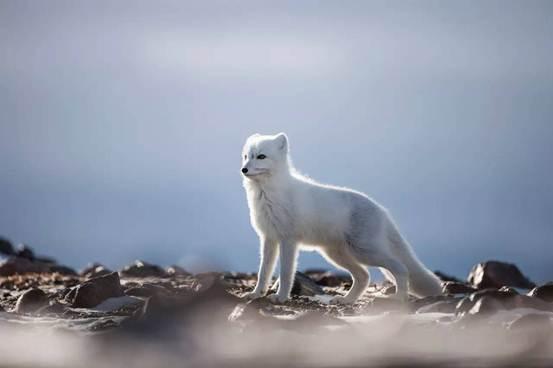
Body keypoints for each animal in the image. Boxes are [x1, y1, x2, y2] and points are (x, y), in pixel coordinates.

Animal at [239, 134, 442, 304]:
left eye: (261, 156)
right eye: (246, 156)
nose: (243, 169)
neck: (268, 194)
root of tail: (382, 210)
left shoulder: (288, 240)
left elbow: (286, 273)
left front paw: (281, 297)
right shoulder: (268, 238)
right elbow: (263, 272)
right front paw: (256, 294)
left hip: (363, 251)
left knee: (400, 267)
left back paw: (398, 298)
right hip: (336, 254)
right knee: (364, 276)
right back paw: (346, 300)